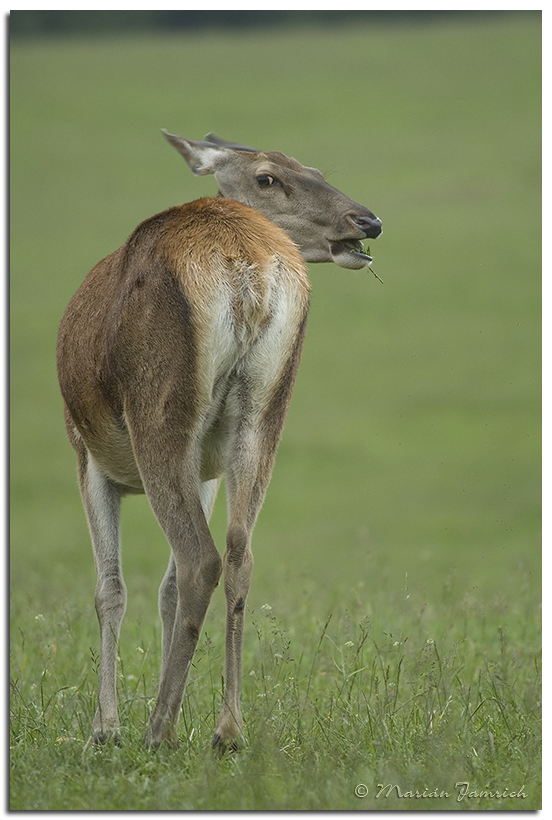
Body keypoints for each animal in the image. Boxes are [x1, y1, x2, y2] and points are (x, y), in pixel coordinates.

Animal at [57, 131, 384, 752]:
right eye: (268, 176)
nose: (368, 220)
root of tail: (245, 269)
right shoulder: (205, 465)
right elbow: (157, 589)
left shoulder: (85, 452)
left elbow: (111, 588)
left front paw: (104, 729)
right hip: (263, 411)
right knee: (238, 552)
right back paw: (227, 728)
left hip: (160, 412)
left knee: (199, 559)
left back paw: (158, 728)